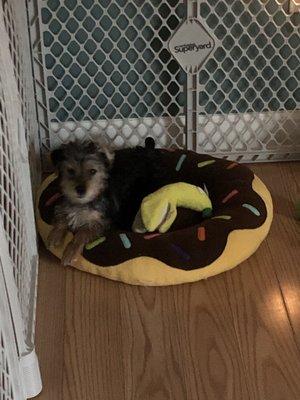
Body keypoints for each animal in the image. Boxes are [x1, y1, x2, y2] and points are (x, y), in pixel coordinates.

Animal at [47, 138, 168, 266]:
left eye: (92, 171)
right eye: (70, 171)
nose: (80, 190)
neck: (83, 202)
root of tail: (149, 150)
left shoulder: (102, 220)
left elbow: (83, 232)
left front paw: (71, 251)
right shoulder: (64, 205)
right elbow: (61, 217)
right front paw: (54, 236)